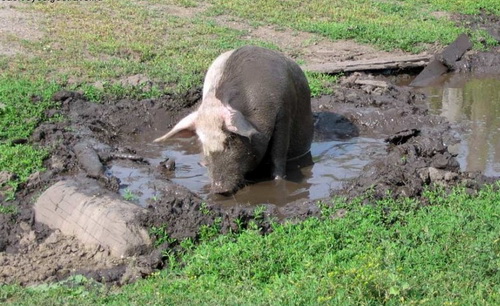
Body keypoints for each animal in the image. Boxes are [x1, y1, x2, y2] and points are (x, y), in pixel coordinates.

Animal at [156, 45, 312, 194]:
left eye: (230, 138)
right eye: (203, 143)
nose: (219, 190)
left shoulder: (284, 113)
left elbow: (278, 154)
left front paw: (278, 181)